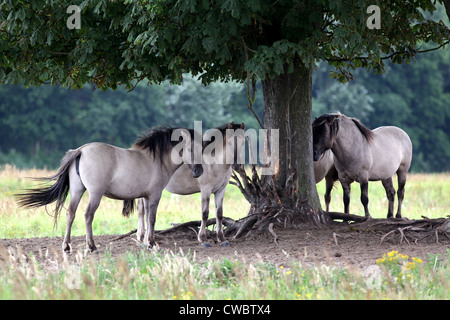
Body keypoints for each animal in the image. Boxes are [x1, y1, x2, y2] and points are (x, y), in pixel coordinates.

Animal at [16, 126, 204, 251]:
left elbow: (144, 216)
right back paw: (91, 246)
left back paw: (67, 246)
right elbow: (152, 218)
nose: (199, 171)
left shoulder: (145, 196)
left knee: (71, 214)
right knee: (88, 215)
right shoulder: (155, 195)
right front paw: (151, 243)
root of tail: (80, 150)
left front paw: (144, 241)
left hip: (77, 191)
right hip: (95, 194)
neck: (156, 159)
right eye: (189, 148)